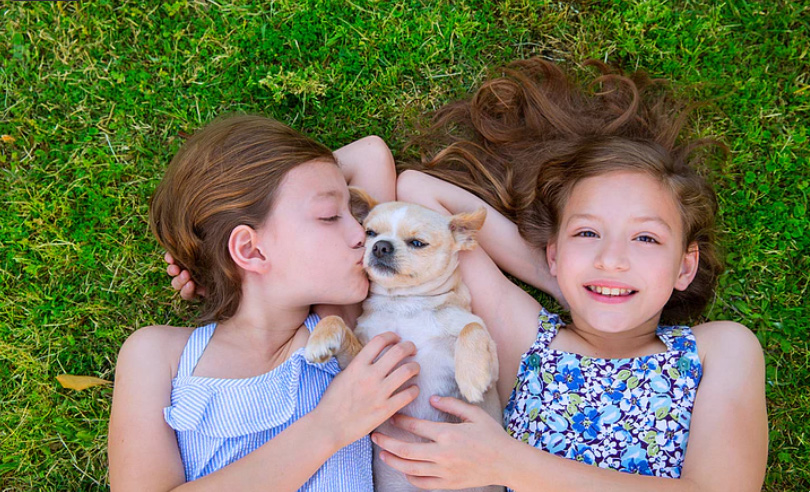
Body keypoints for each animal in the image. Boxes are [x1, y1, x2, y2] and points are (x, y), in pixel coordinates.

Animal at [306, 189, 502, 492]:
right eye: (370, 233)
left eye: (418, 243)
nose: (380, 246)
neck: (404, 304)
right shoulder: (366, 358)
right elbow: (336, 320)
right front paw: (320, 338)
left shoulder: (493, 369)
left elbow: (472, 327)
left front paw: (471, 377)